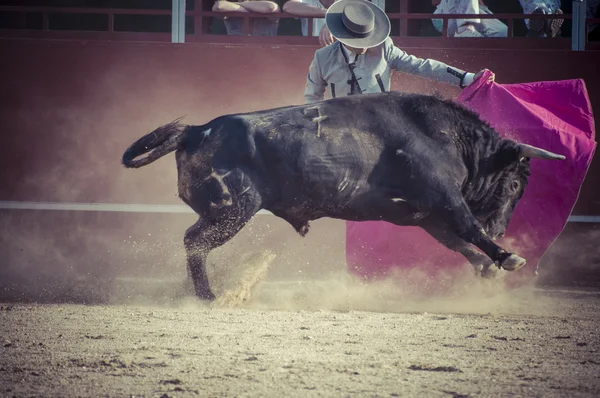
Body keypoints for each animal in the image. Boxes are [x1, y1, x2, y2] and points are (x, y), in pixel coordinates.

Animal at [120, 91, 564, 300]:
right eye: (514, 184)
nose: (501, 228)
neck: (444, 136)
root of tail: (196, 130)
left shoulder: (424, 214)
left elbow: (457, 241)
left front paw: (487, 265)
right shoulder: (443, 198)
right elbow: (469, 229)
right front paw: (507, 258)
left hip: (222, 212)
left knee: (192, 244)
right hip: (231, 211)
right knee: (194, 243)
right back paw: (208, 296)